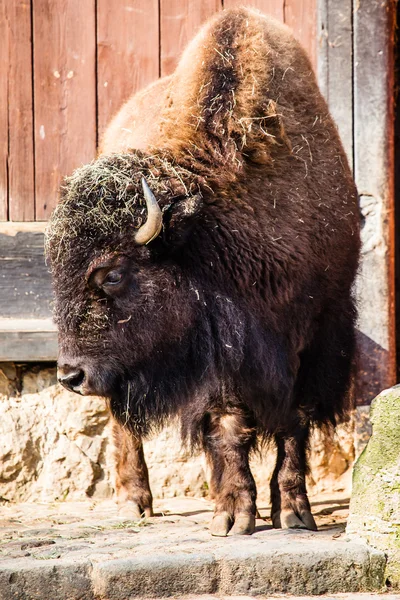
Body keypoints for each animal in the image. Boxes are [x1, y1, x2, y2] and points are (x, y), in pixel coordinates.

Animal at [46, 8, 360, 536]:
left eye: (111, 274)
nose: (69, 374)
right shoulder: (217, 356)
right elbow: (227, 424)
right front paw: (232, 515)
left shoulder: (313, 337)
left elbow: (293, 422)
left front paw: (294, 512)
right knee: (121, 419)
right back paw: (133, 501)